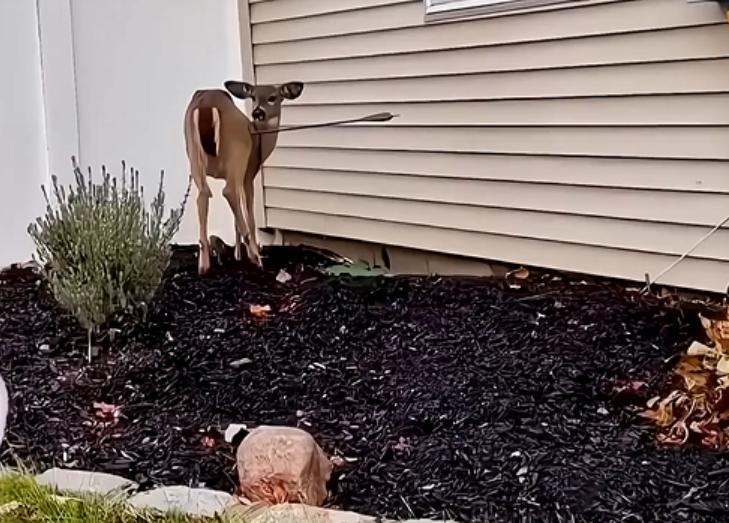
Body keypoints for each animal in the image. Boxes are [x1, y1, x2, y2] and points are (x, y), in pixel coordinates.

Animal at [185, 80, 396, 276]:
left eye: (272, 97)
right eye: (253, 97)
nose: (257, 112)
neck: (260, 138)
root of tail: (206, 106)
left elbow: (236, 219)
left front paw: (237, 255)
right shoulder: (249, 171)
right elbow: (249, 212)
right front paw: (249, 252)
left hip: (194, 156)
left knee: (203, 195)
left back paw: (204, 264)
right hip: (236, 153)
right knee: (227, 192)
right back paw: (255, 258)